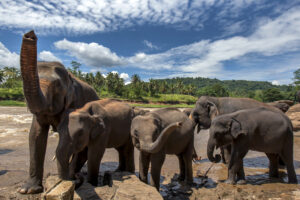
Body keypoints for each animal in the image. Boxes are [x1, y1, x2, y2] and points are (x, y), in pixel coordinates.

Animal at [17, 30, 98, 194]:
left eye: (57, 86)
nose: (30, 34)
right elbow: (36, 135)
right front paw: (28, 190)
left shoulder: (77, 102)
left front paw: (70, 179)